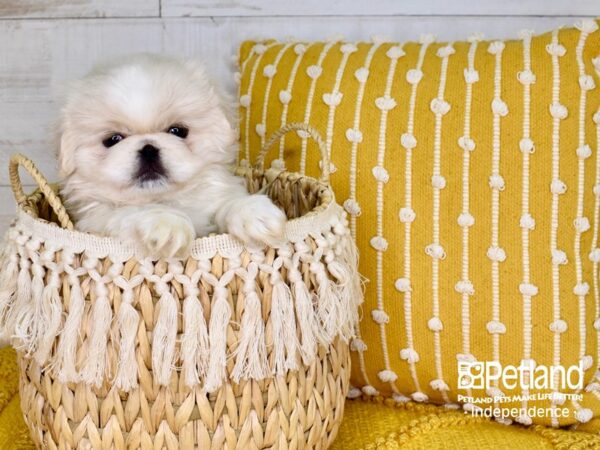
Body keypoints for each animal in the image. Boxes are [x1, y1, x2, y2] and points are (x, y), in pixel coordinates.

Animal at [57, 52, 288, 256]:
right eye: (112, 140)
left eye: (178, 131)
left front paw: (255, 213)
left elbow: (229, 202)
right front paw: (167, 224)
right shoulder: (97, 218)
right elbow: (132, 211)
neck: (168, 199)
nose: (148, 148)